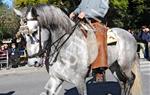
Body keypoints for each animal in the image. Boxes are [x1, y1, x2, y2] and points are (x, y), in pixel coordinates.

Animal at [14, 4, 143, 94]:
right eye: (23, 35)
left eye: (35, 31)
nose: (33, 62)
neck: (65, 49)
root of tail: (129, 34)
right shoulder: (55, 79)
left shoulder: (80, 82)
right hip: (114, 66)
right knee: (122, 83)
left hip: (125, 65)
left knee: (131, 79)